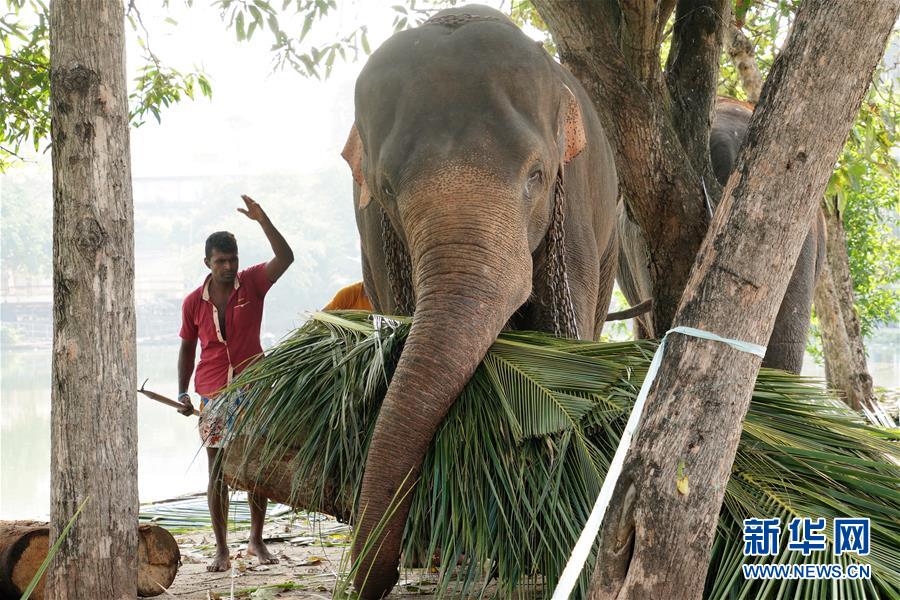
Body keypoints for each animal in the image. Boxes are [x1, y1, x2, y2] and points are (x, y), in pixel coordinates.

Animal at [340, 3, 620, 596]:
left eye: (537, 175)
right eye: (388, 188)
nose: (368, 579)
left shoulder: (574, 213)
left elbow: (563, 337)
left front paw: (546, 556)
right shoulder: (371, 230)